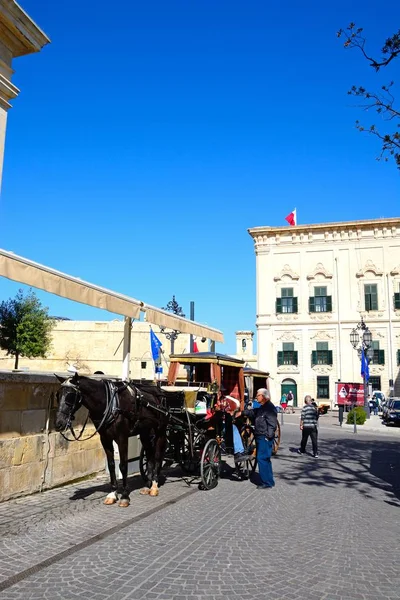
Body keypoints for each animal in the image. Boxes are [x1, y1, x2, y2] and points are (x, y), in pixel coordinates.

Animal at [54, 376, 169, 506]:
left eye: (70, 396)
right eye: (57, 395)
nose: (59, 423)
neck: (111, 404)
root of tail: (160, 391)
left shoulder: (122, 438)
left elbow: (123, 466)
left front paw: (125, 495)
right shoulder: (105, 439)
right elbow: (111, 465)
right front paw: (113, 494)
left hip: (160, 431)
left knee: (158, 456)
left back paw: (154, 486)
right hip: (145, 432)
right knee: (149, 455)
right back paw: (147, 486)